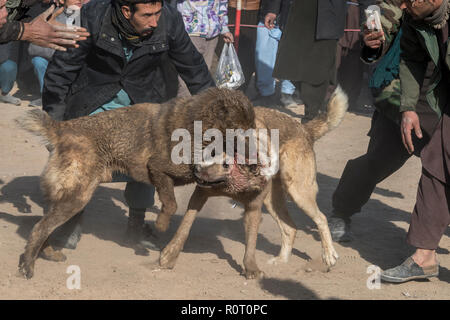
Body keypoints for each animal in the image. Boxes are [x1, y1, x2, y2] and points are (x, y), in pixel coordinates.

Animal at [15, 87, 255, 278]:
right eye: (239, 130)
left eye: (252, 126)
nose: (255, 157)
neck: (198, 127)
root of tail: (61, 128)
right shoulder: (158, 168)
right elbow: (171, 203)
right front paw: (161, 224)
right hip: (77, 197)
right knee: (39, 228)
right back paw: (28, 267)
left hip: (69, 196)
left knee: (44, 226)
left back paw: (47, 253)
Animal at [158, 86, 348, 278]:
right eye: (209, 151)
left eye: (226, 163)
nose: (196, 169)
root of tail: (303, 129)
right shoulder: (200, 194)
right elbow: (185, 226)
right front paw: (169, 255)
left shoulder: (254, 207)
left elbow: (251, 242)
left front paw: (251, 269)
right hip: (273, 200)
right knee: (290, 228)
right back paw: (281, 260)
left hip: (298, 191)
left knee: (321, 218)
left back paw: (329, 255)